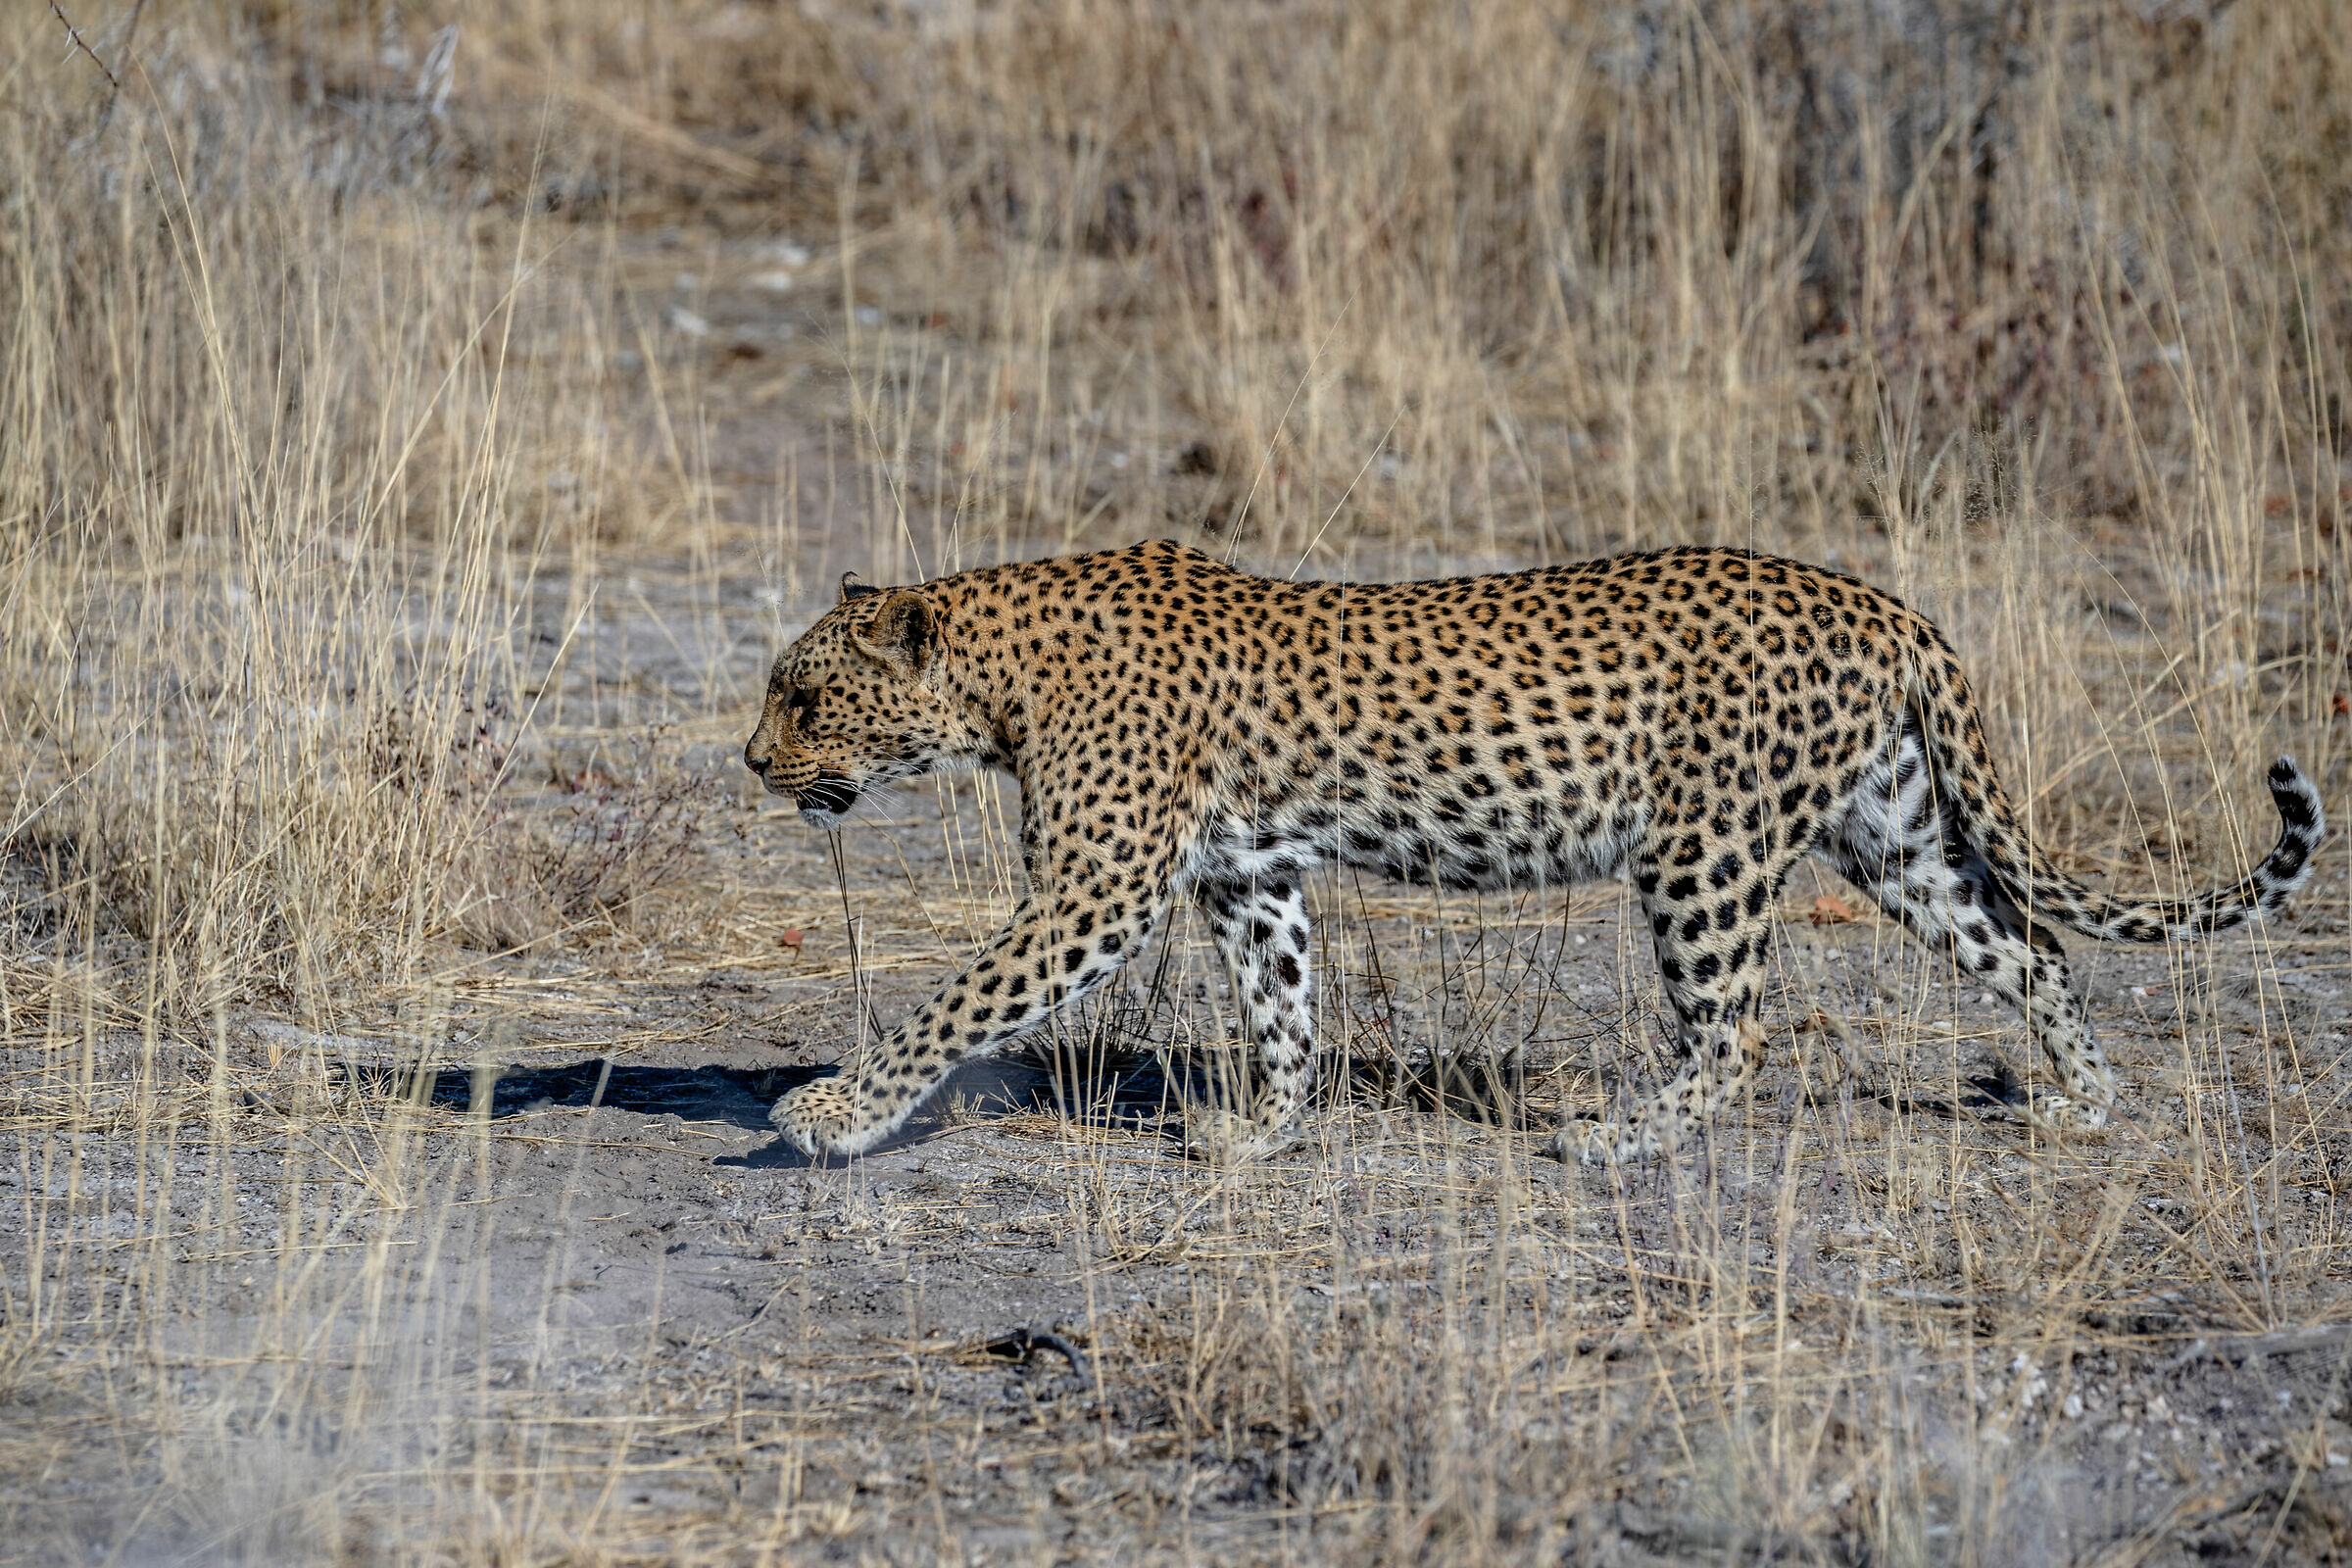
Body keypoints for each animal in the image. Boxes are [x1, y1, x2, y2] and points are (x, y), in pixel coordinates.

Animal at [742, 539, 2324, 1164]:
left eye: (803, 697)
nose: (752, 762)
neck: (993, 684)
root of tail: (1886, 606)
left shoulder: (1096, 890)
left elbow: (956, 1000)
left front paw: (827, 1114)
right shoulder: (1251, 875)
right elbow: (1283, 1007)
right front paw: (1267, 1133)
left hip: (1703, 851)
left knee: (1738, 1031)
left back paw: (1618, 1138)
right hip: (1895, 837)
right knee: (2032, 942)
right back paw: (2092, 1104)